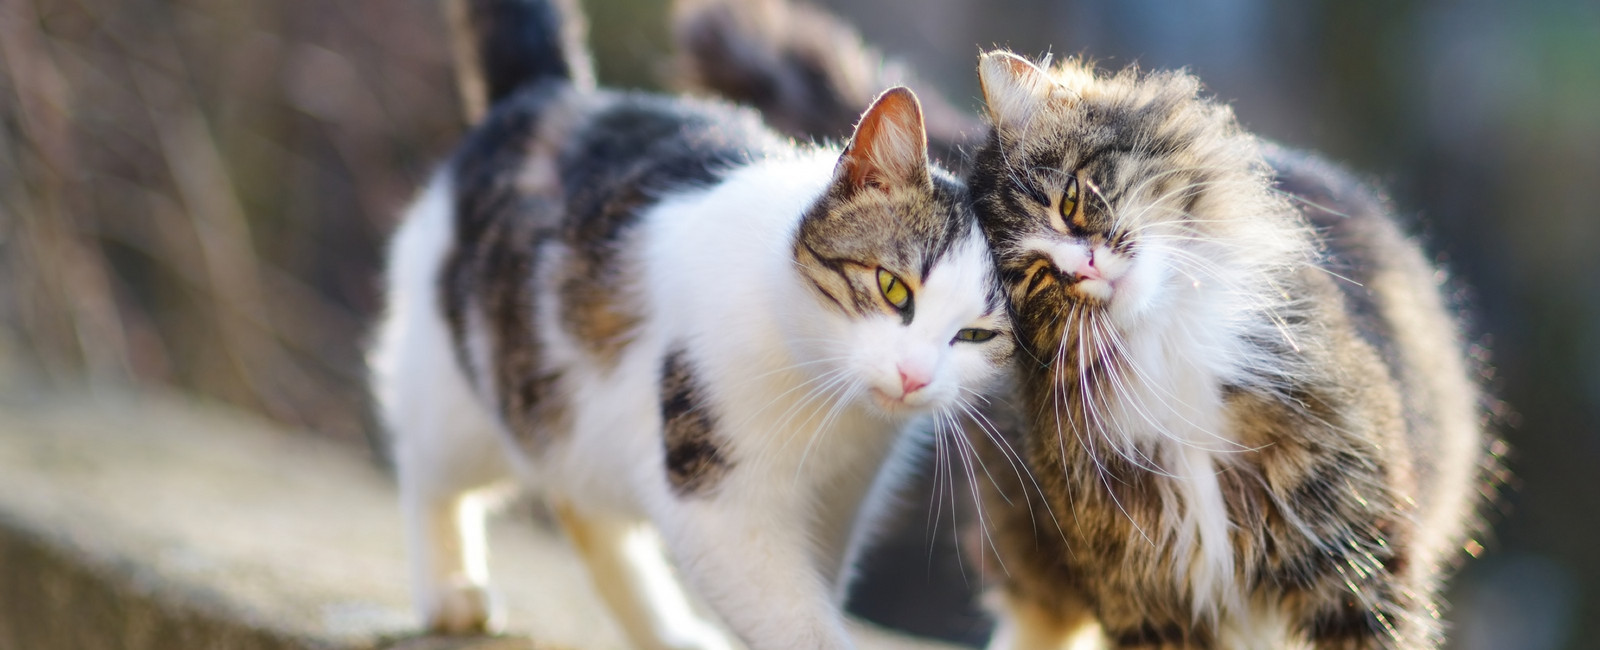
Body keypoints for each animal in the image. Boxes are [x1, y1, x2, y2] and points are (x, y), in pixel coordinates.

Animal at [366, 2, 1011, 646]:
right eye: (893, 287)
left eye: (978, 335)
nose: (914, 376)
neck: (828, 401)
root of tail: (551, 95)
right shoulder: (718, 501)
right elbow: (797, 618)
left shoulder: (840, 501)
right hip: (465, 384)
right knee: (431, 467)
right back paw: (450, 589)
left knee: (584, 505)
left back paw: (666, 631)